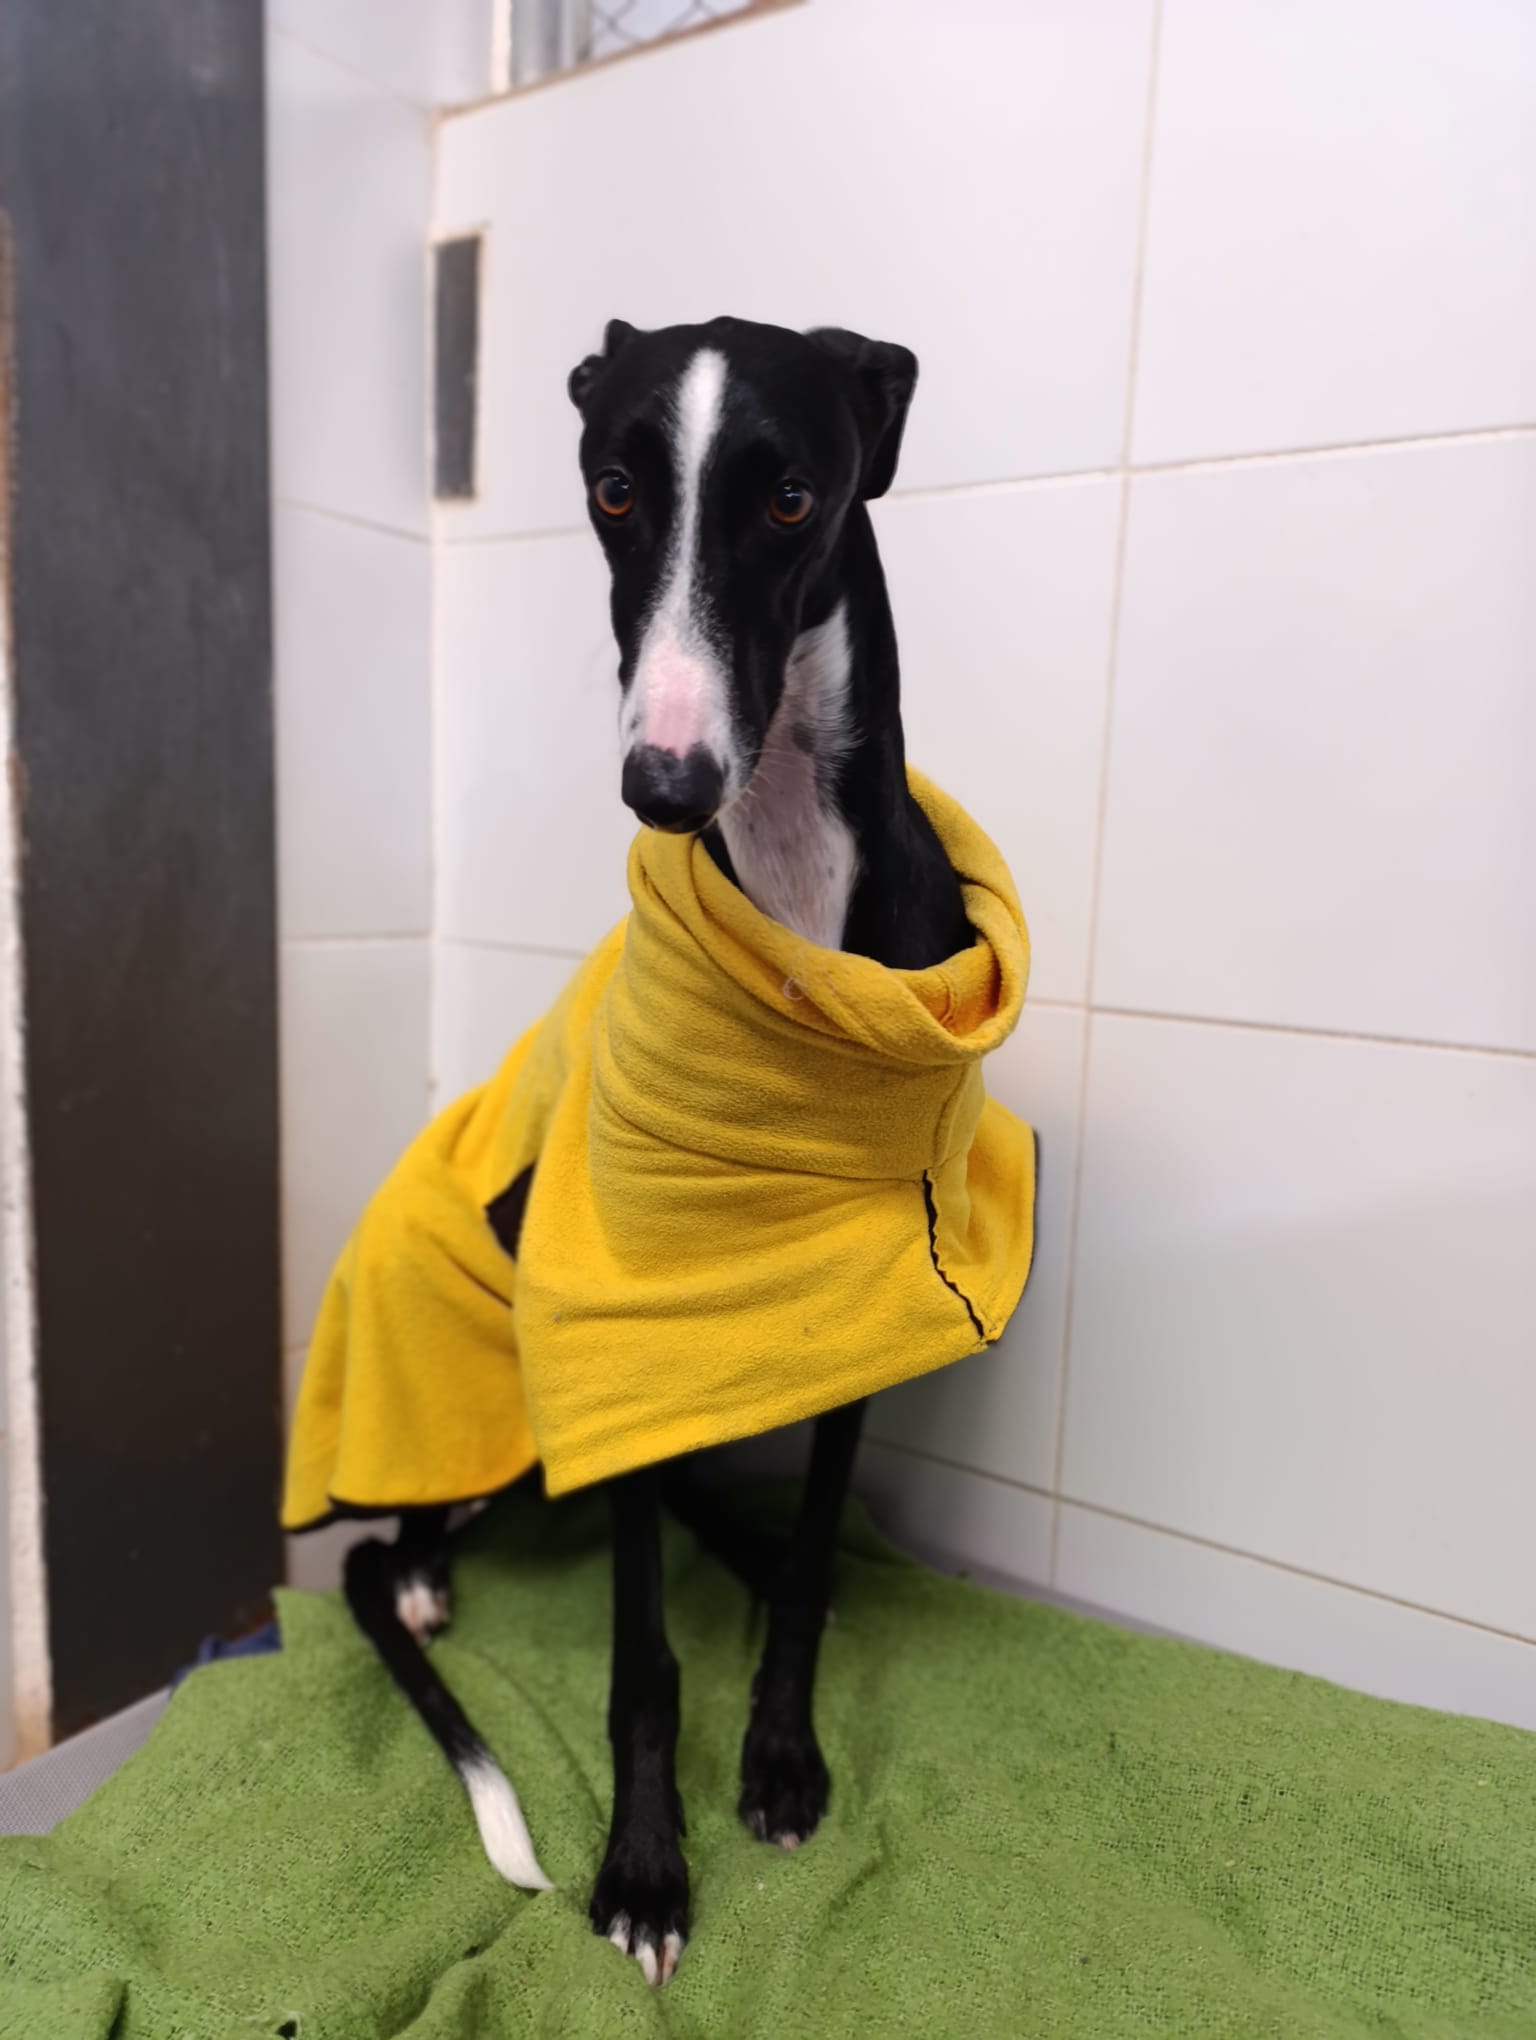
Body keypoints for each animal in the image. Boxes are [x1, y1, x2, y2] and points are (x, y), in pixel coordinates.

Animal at [342, 318, 988, 1986]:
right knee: (394, 1537)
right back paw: (418, 1569)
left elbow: (813, 1565)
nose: (666, 786)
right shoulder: (608, 1322)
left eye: (793, 498)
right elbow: (642, 1660)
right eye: (616, 488)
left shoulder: (861, 1319)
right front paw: (643, 1870)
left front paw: (783, 1759)